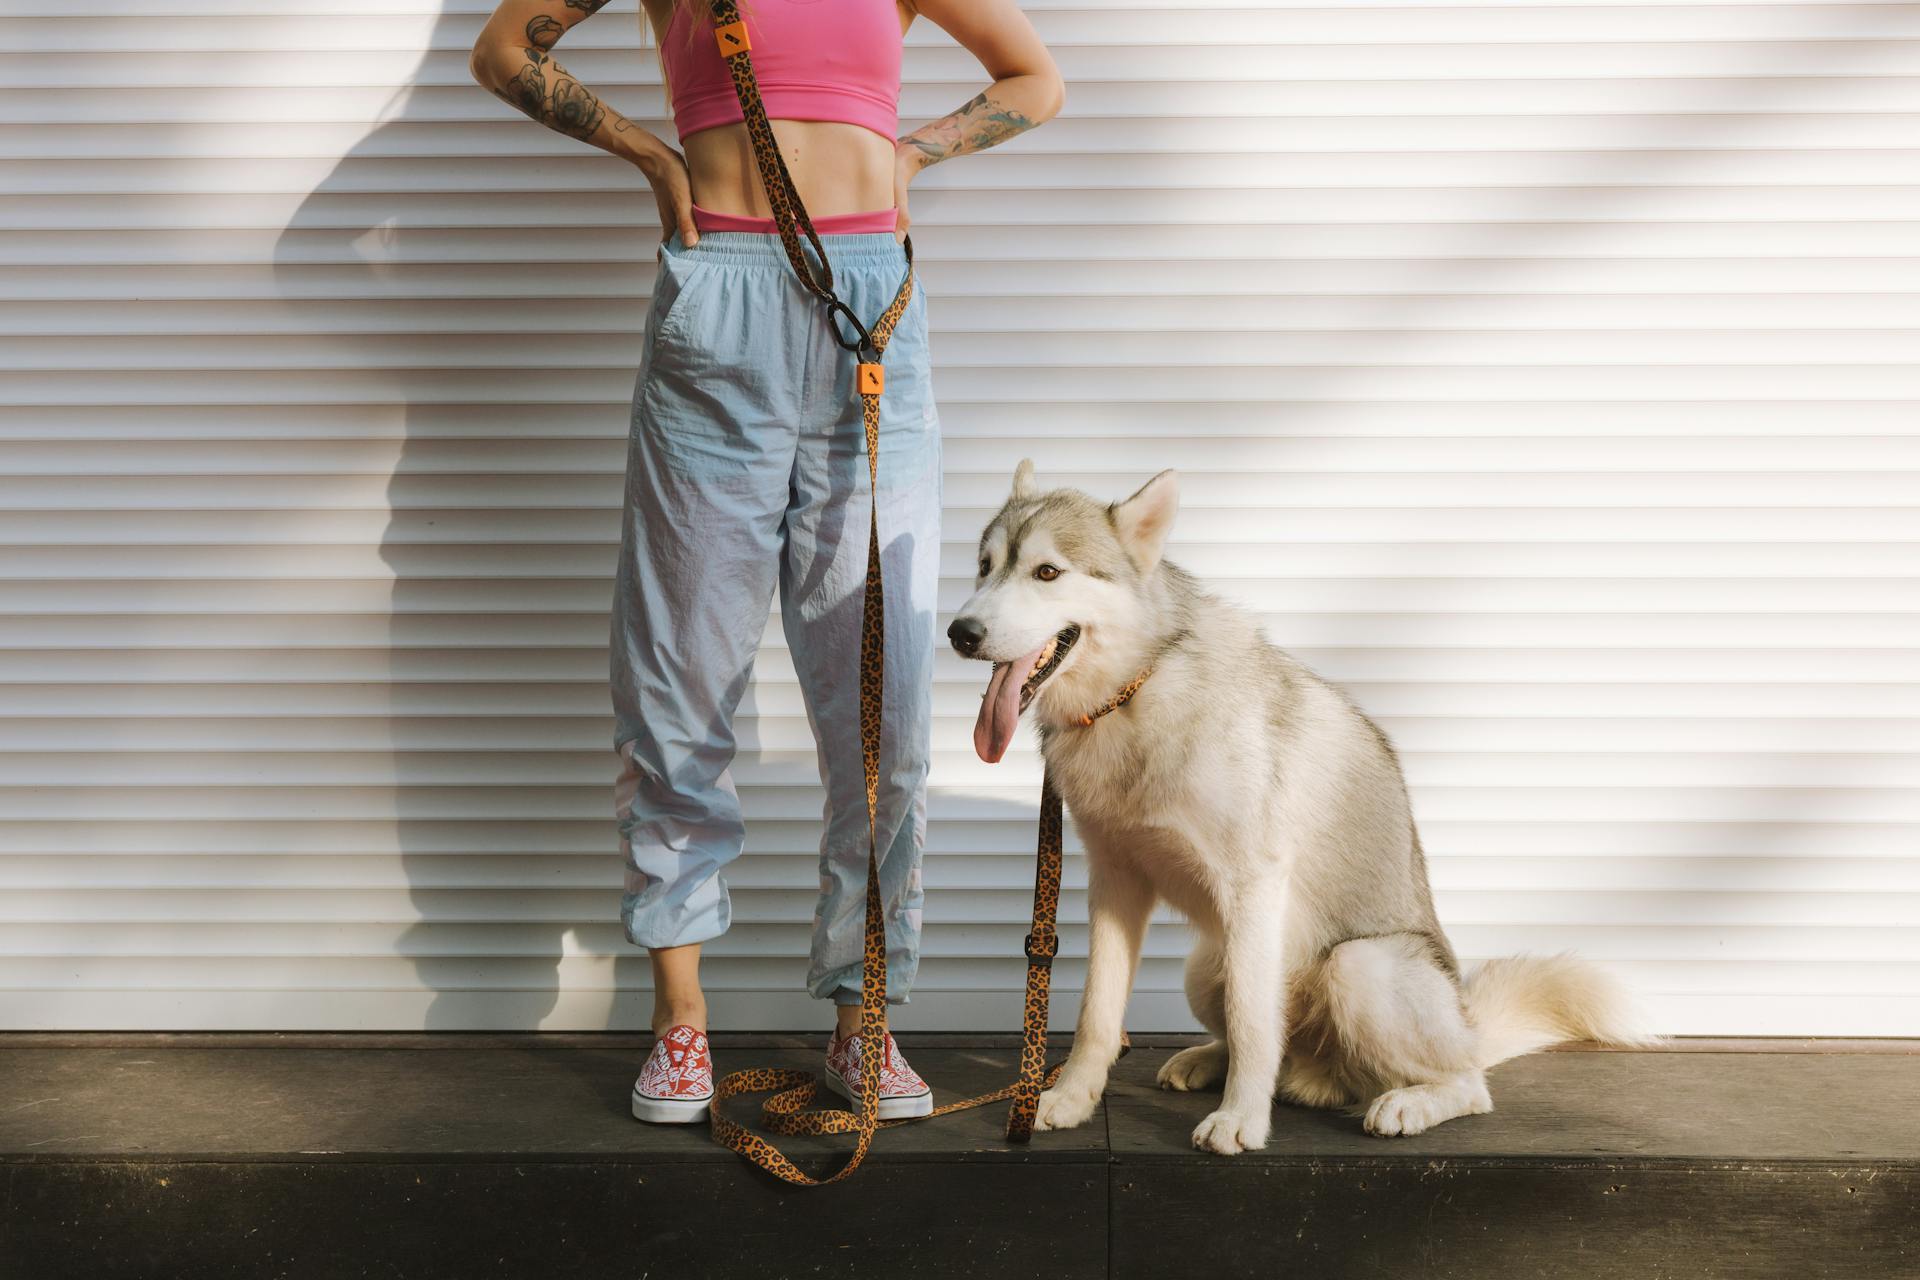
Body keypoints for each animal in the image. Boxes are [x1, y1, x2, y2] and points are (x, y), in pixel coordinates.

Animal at [944, 462, 1651, 1159]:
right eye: (984, 565)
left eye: (1047, 572)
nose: (960, 632)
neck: (1135, 693)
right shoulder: (1117, 883)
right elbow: (1098, 1012)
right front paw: (1067, 1099)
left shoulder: (1253, 885)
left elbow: (1254, 1024)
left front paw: (1240, 1121)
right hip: (1207, 962)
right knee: (1273, 1043)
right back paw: (1209, 1061)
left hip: (1357, 967)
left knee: (1466, 1082)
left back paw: (1408, 1102)